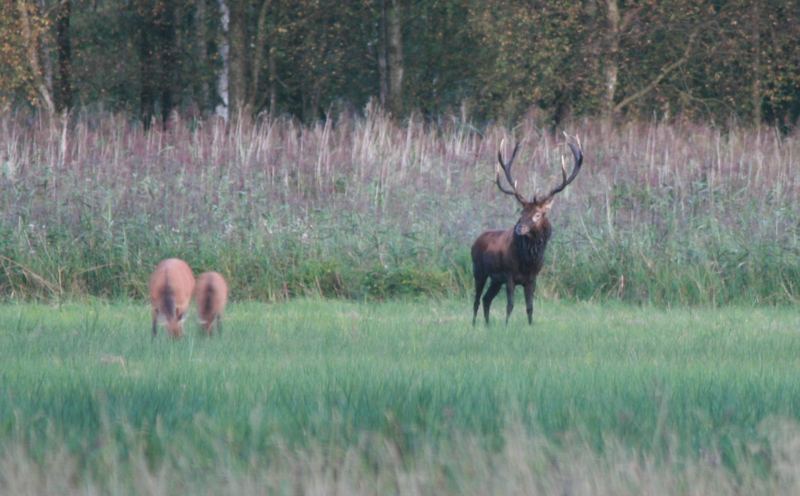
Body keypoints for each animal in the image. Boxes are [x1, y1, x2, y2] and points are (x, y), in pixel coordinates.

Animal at [472, 140, 584, 326]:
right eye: (522, 212)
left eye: (537, 214)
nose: (519, 228)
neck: (527, 262)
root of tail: (475, 241)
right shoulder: (509, 274)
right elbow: (510, 305)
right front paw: (506, 326)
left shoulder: (532, 278)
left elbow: (530, 307)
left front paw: (530, 326)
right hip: (479, 271)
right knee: (476, 300)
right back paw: (474, 325)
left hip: (495, 280)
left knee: (486, 299)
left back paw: (487, 326)